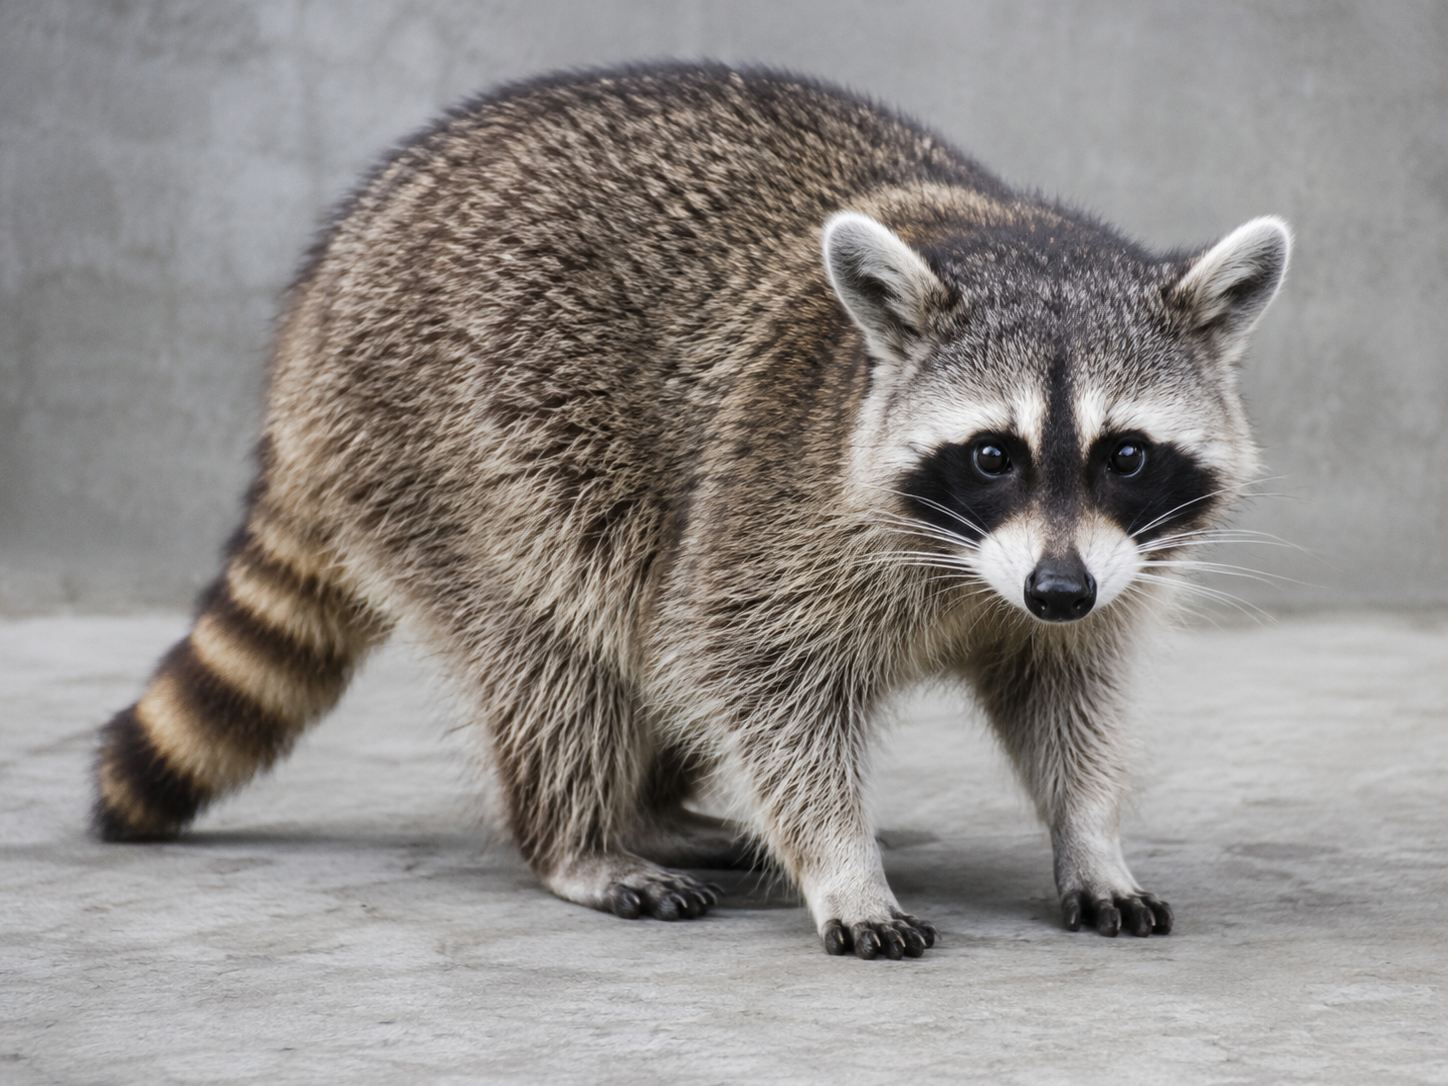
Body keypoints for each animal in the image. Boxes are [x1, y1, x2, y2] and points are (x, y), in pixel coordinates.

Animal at [93, 64, 1289, 960]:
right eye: (992, 455)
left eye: (1124, 455)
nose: (1056, 588)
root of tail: (319, 295)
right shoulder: (779, 502)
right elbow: (760, 678)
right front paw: (840, 866)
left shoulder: (1100, 572)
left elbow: (1069, 698)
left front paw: (1091, 836)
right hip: (453, 447)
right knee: (561, 644)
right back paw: (578, 838)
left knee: (646, 644)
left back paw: (657, 808)